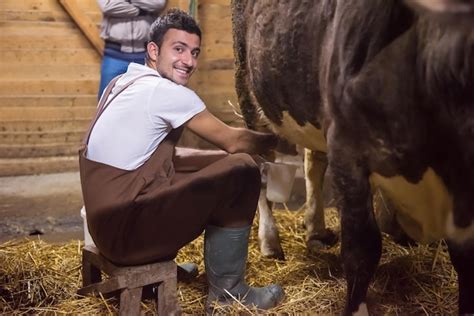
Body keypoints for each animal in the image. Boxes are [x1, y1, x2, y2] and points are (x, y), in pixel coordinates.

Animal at [232, 0, 474, 314]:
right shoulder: (347, 149)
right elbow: (362, 249)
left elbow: (465, 257)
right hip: (249, 88)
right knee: (261, 163)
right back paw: (271, 242)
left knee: (313, 161)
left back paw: (316, 230)